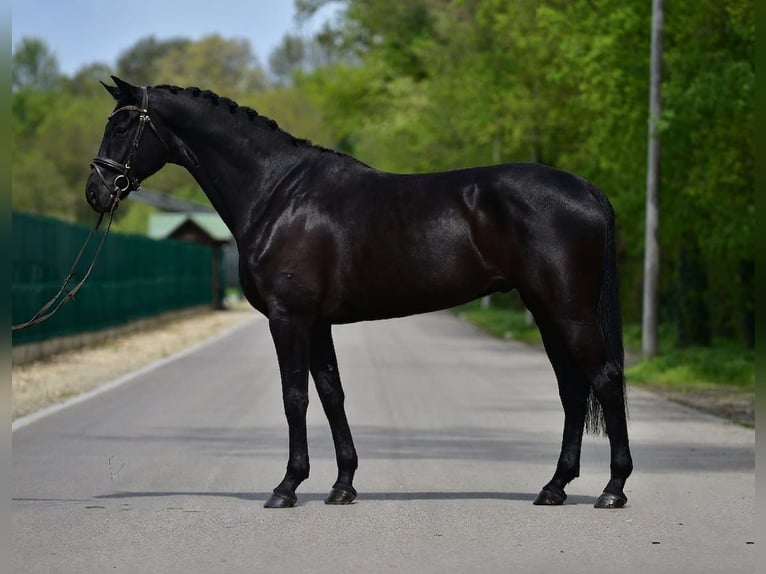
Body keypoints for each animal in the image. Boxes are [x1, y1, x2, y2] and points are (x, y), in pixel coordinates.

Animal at [86, 76, 632, 509]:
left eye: (122, 127)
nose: (96, 192)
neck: (276, 193)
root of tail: (587, 190)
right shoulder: (317, 322)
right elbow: (332, 394)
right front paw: (343, 484)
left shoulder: (289, 318)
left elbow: (294, 397)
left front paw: (287, 486)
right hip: (544, 309)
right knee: (572, 388)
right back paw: (555, 486)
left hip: (568, 309)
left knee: (604, 378)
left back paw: (613, 489)